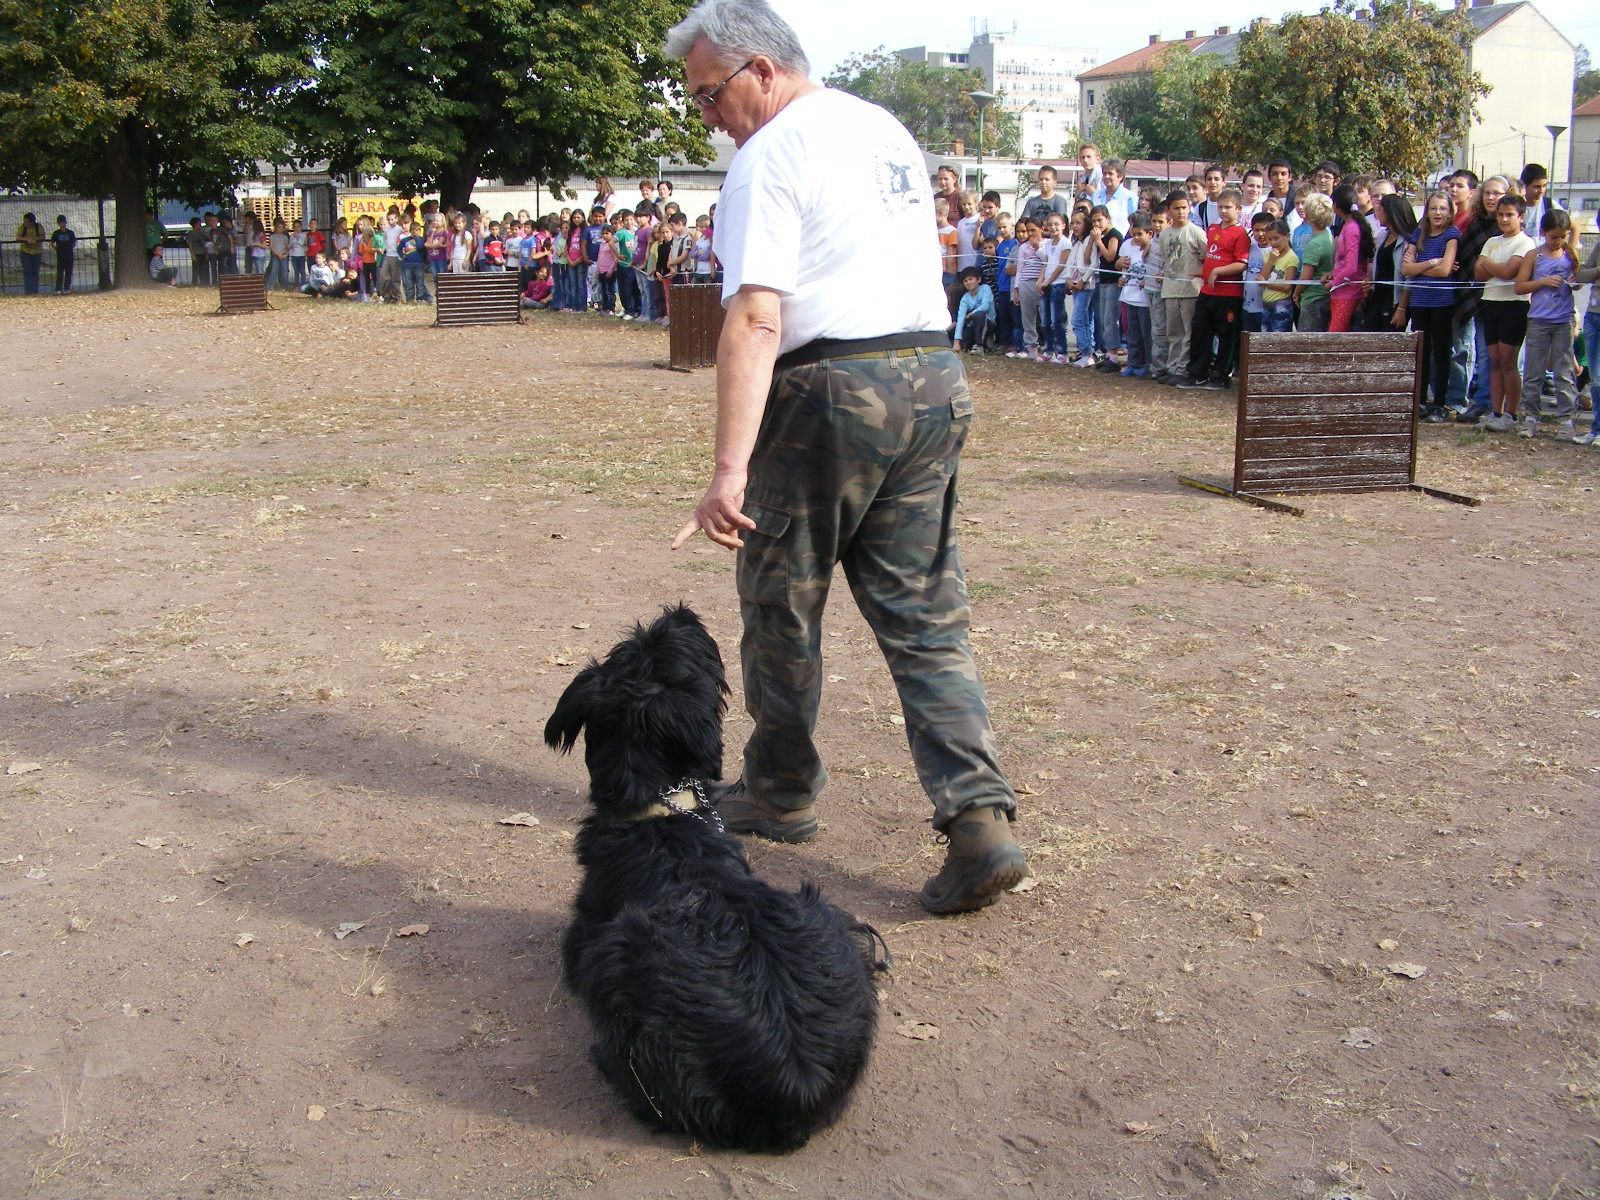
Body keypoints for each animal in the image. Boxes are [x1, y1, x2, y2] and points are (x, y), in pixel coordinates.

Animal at [544, 611, 883, 1158]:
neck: (662, 814)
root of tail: (795, 1087)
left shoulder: (582, 942)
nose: (679, 612)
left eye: (645, 646)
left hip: (618, 961)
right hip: (827, 912)